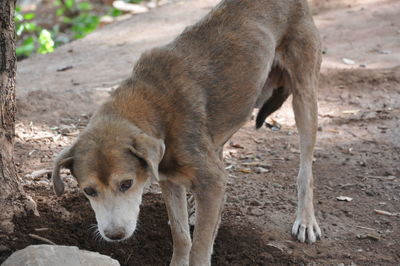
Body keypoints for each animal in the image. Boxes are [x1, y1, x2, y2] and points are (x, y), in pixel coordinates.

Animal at [51, 1, 324, 264]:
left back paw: (306, 220)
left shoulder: (210, 180)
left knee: (306, 170)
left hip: (304, 97)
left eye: (126, 183)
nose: (114, 235)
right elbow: (181, 235)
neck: (153, 108)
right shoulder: (169, 180)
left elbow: (200, 247)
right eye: (89, 191)